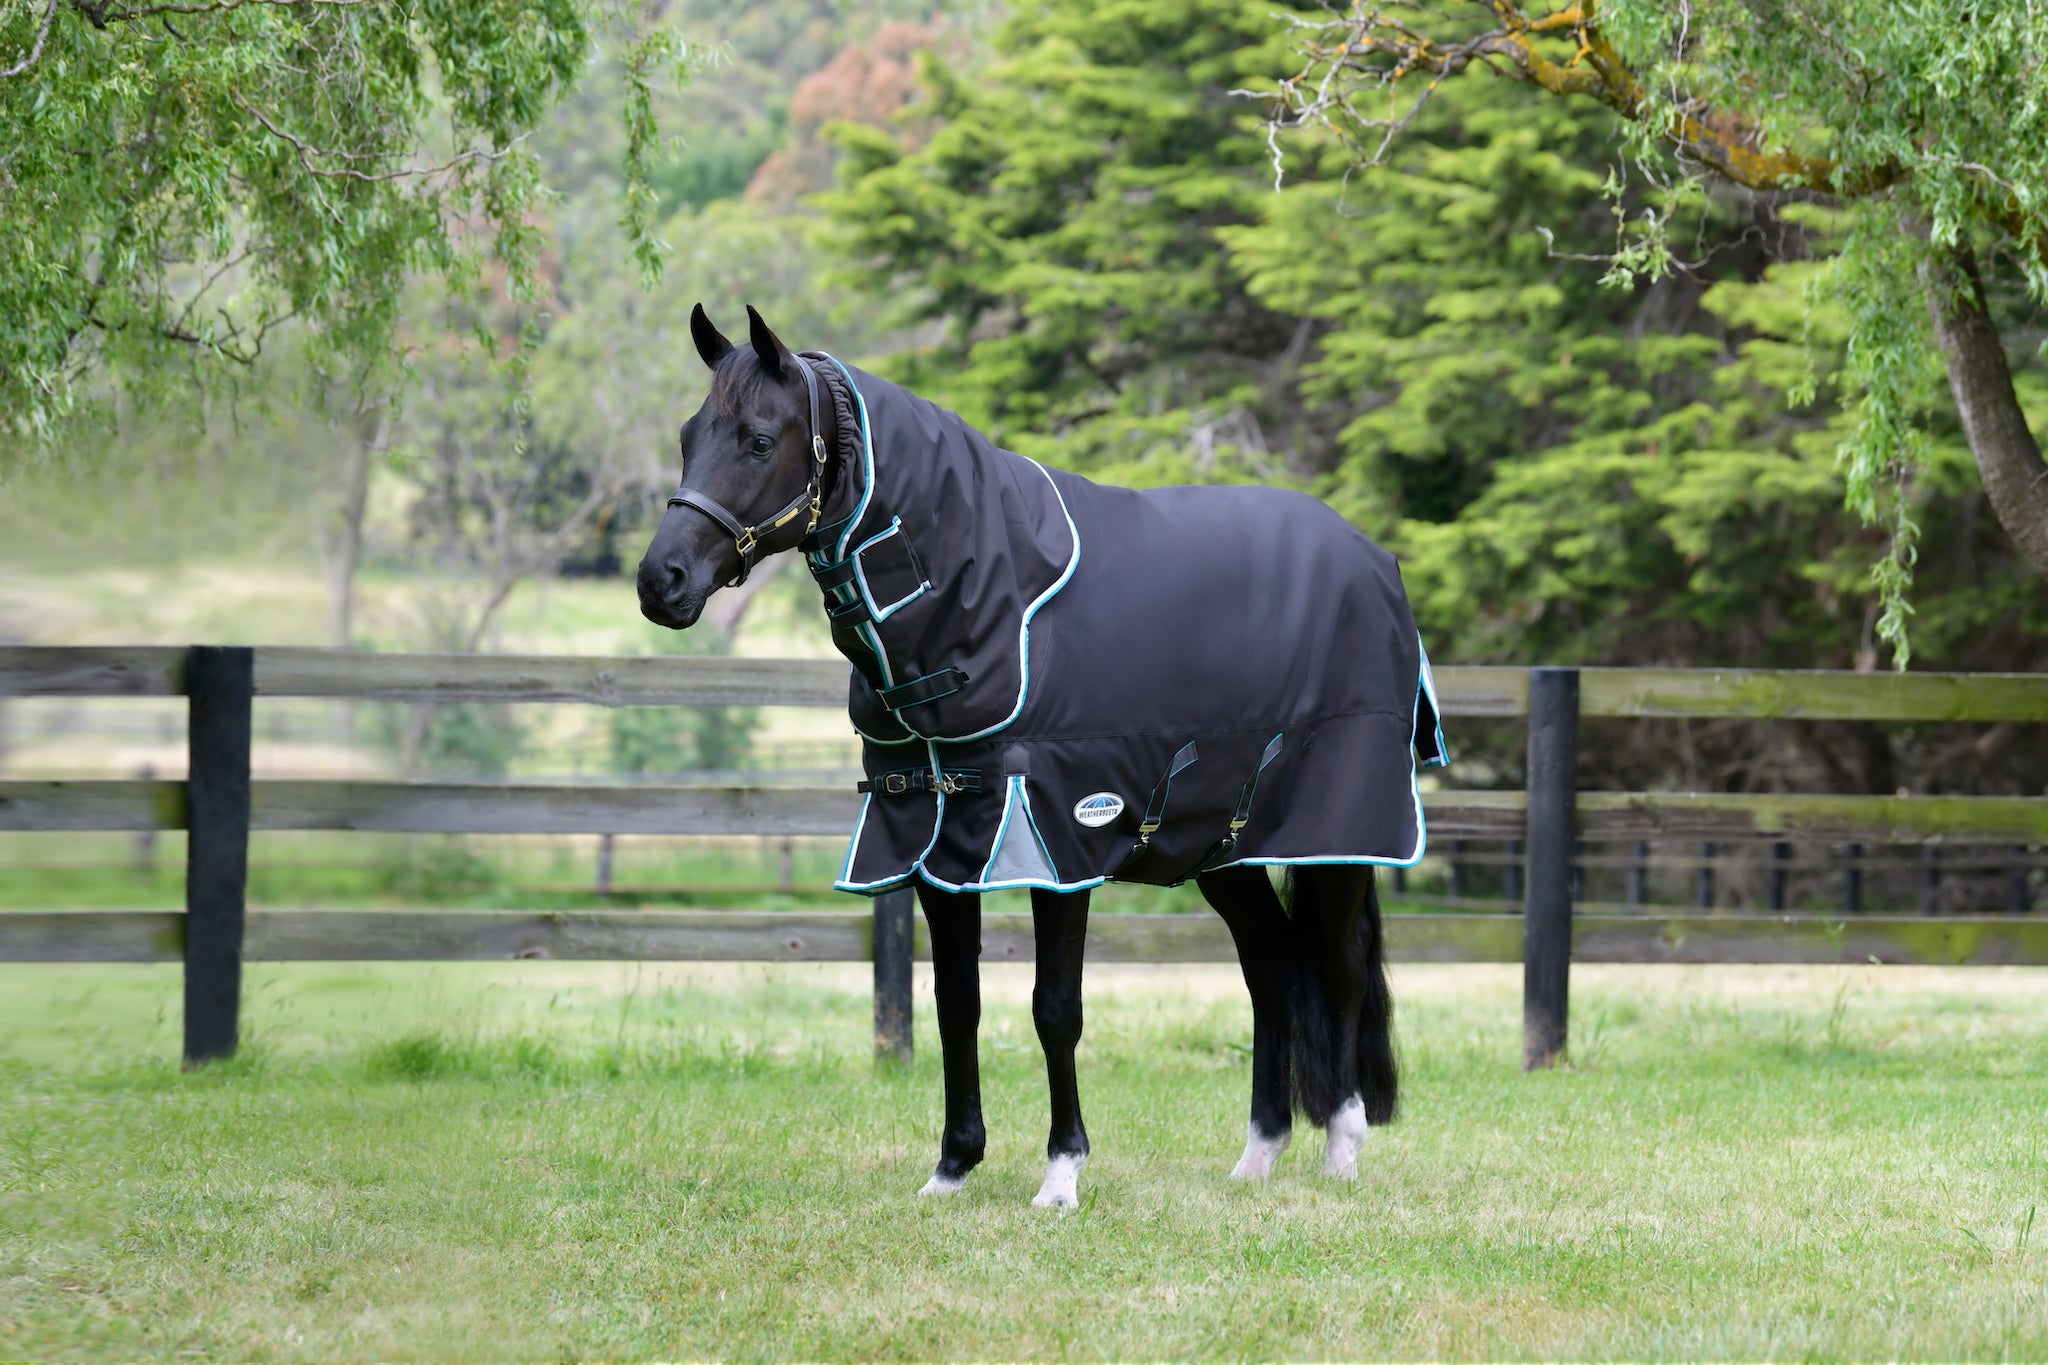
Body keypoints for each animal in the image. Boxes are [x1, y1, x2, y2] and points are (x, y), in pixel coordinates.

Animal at [637, 304, 1448, 1207]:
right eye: (687, 436)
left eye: (757, 438)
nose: (660, 580)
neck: (993, 594)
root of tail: (1374, 560)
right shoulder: (934, 839)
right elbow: (957, 1001)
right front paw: (952, 1166)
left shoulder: (1062, 835)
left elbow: (1055, 1006)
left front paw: (1062, 1172)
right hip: (1221, 846)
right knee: (1271, 964)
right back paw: (1258, 1154)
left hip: (1338, 833)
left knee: (1339, 966)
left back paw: (1342, 1146)